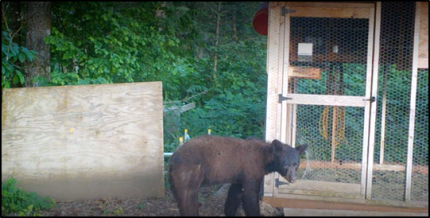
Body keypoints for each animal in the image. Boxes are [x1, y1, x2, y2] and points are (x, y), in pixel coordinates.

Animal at [167, 135, 306, 215]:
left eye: (296, 164)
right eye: (286, 165)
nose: (293, 179)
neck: (265, 159)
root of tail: (173, 157)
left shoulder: (239, 176)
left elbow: (234, 195)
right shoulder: (251, 169)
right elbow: (250, 195)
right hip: (189, 171)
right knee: (187, 197)